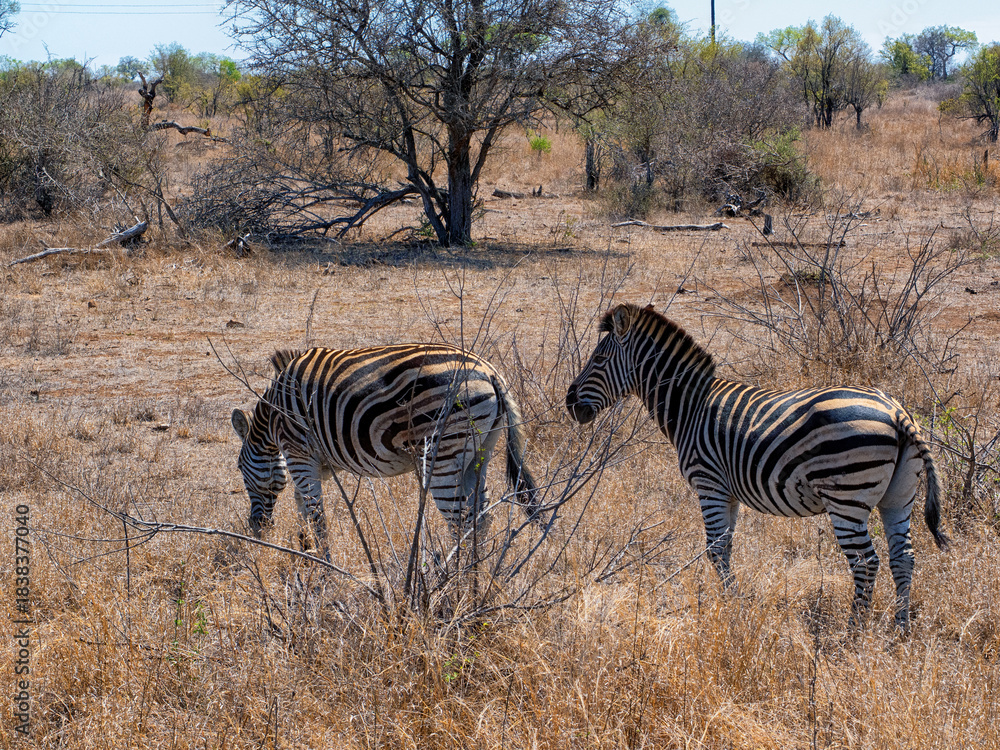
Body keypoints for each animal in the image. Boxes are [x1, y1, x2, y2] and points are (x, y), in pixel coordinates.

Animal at [231, 344, 539, 553]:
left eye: (239, 470)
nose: (256, 528)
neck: (273, 414)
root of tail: (490, 372)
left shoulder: (298, 452)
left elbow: (316, 514)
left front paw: (322, 568)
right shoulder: (323, 461)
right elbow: (302, 504)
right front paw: (306, 547)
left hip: (441, 456)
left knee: (460, 522)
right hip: (480, 452)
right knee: (481, 517)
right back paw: (480, 575)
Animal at [565, 303, 948, 627]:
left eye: (599, 358)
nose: (570, 403)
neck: (689, 406)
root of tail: (896, 412)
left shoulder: (709, 484)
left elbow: (715, 550)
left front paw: (728, 608)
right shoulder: (729, 492)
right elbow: (727, 547)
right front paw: (733, 601)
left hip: (847, 498)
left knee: (866, 563)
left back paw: (854, 630)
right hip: (899, 495)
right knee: (903, 558)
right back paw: (900, 628)